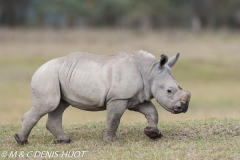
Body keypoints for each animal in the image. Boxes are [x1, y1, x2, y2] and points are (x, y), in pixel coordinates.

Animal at [15, 50, 191, 144]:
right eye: (169, 91)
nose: (183, 108)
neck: (149, 72)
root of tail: (38, 69)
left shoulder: (135, 97)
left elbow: (151, 111)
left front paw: (153, 133)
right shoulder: (118, 97)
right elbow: (114, 118)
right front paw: (110, 140)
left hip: (58, 76)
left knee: (59, 106)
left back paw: (64, 141)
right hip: (47, 76)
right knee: (48, 105)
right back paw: (21, 141)